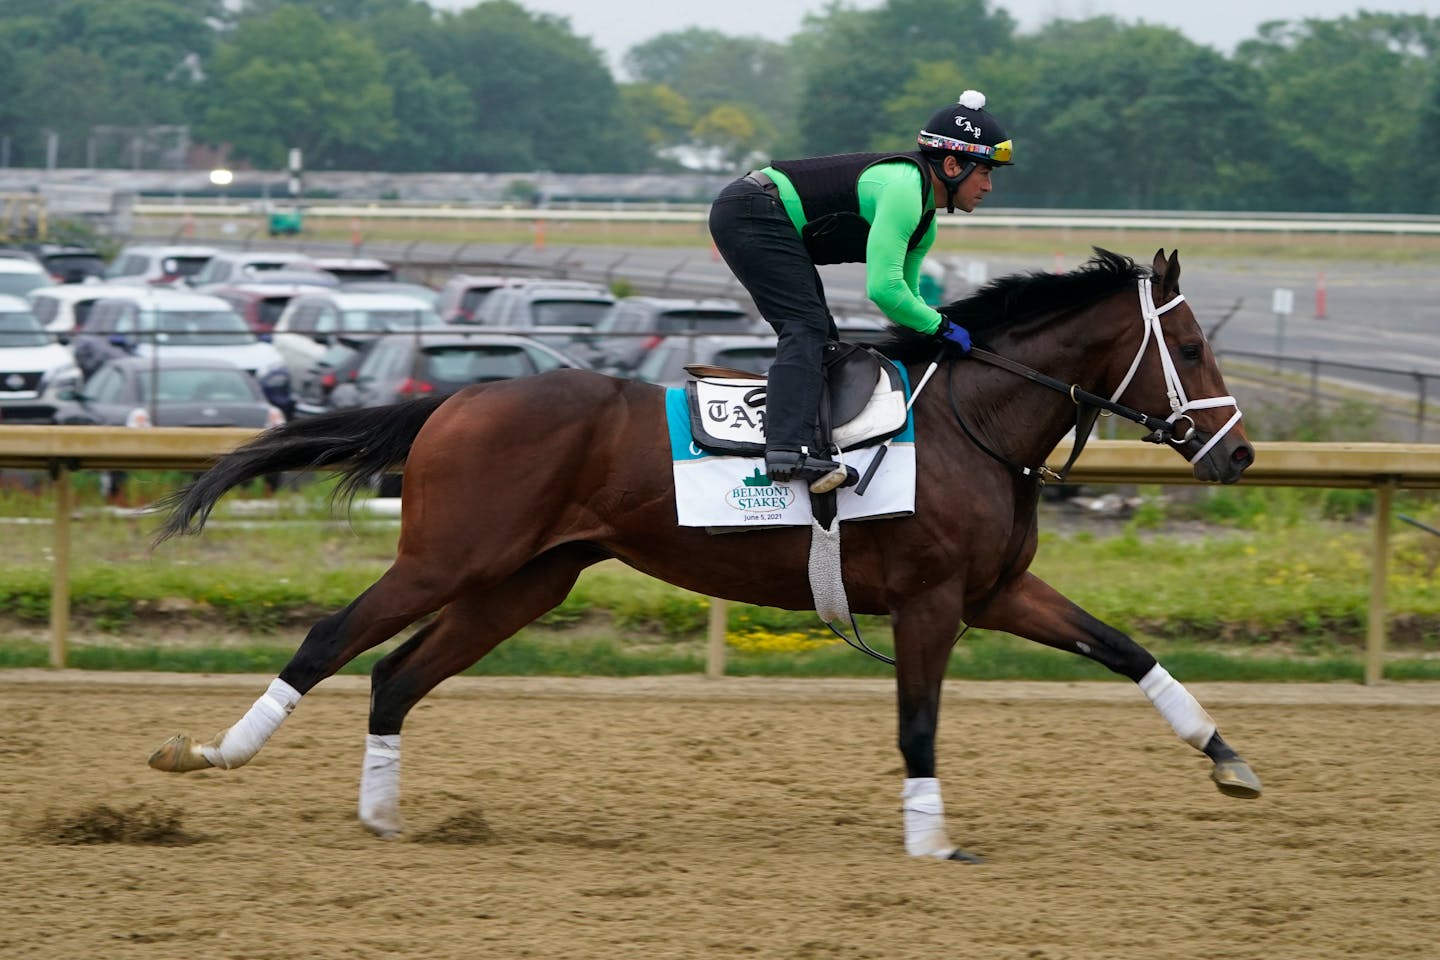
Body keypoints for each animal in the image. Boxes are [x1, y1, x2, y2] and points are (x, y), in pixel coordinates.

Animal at [151, 247, 1261, 863]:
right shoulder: (933, 602)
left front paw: (1229, 759)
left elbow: (1124, 648)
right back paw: (208, 753)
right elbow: (918, 726)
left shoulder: (997, 591)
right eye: (1190, 347)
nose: (1241, 452)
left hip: (525, 581)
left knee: (396, 673)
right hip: (446, 560)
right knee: (332, 640)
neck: (973, 425)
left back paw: (382, 817)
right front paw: (932, 840)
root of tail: (456, 401)